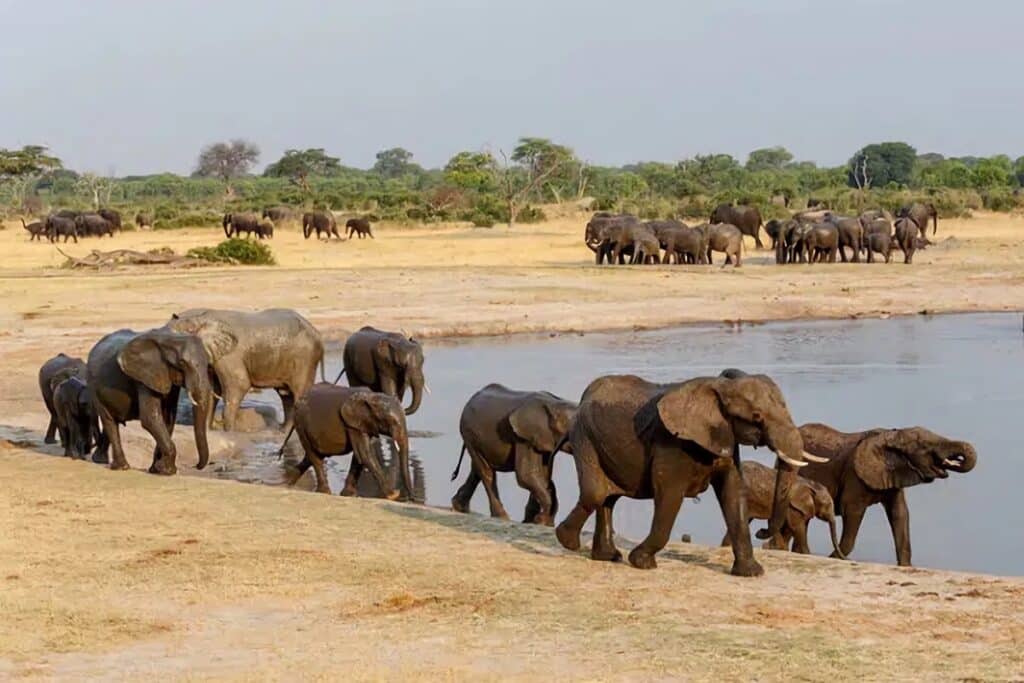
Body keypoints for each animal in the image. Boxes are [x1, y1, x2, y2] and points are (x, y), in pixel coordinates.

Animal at [88, 327, 214, 473]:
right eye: (182, 363)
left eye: (208, 364)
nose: (196, 466)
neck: (170, 339)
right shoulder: (144, 376)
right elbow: (150, 418)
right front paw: (167, 471)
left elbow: (168, 418)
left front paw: (157, 469)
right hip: (94, 388)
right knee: (109, 420)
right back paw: (120, 467)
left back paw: (100, 460)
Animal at [165, 307, 323, 430]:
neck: (199, 319)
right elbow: (210, 391)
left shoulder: (230, 356)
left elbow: (239, 384)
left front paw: (229, 433)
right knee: (286, 396)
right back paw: (282, 432)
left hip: (305, 359)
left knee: (298, 394)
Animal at [452, 387, 581, 528]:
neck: (556, 404)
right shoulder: (523, 438)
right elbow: (526, 475)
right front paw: (540, 521)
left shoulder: (544, 439)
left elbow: (543, 475)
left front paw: (536, 521)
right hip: (468, 432)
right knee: (486, 472)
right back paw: (502, 517)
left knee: (477, 469)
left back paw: (459, 507)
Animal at [552, 370, 823, 573]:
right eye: (756, 416)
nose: (761, 531)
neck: (719, 386)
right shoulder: (672, 444)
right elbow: (670, 495)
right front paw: (641, 562)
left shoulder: (725, 437)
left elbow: (733, 493)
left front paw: (751, 573)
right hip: (585, 436)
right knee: (596, 493)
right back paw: (567, 541)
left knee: (609, 498)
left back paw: (607, 556)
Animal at [798, 423, 974, 569]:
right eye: (924, 446)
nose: (956, 459)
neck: (893, 436)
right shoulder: (854, 476)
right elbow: (853, 511)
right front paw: (834, 557)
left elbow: (900, 513)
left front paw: (905, 566)